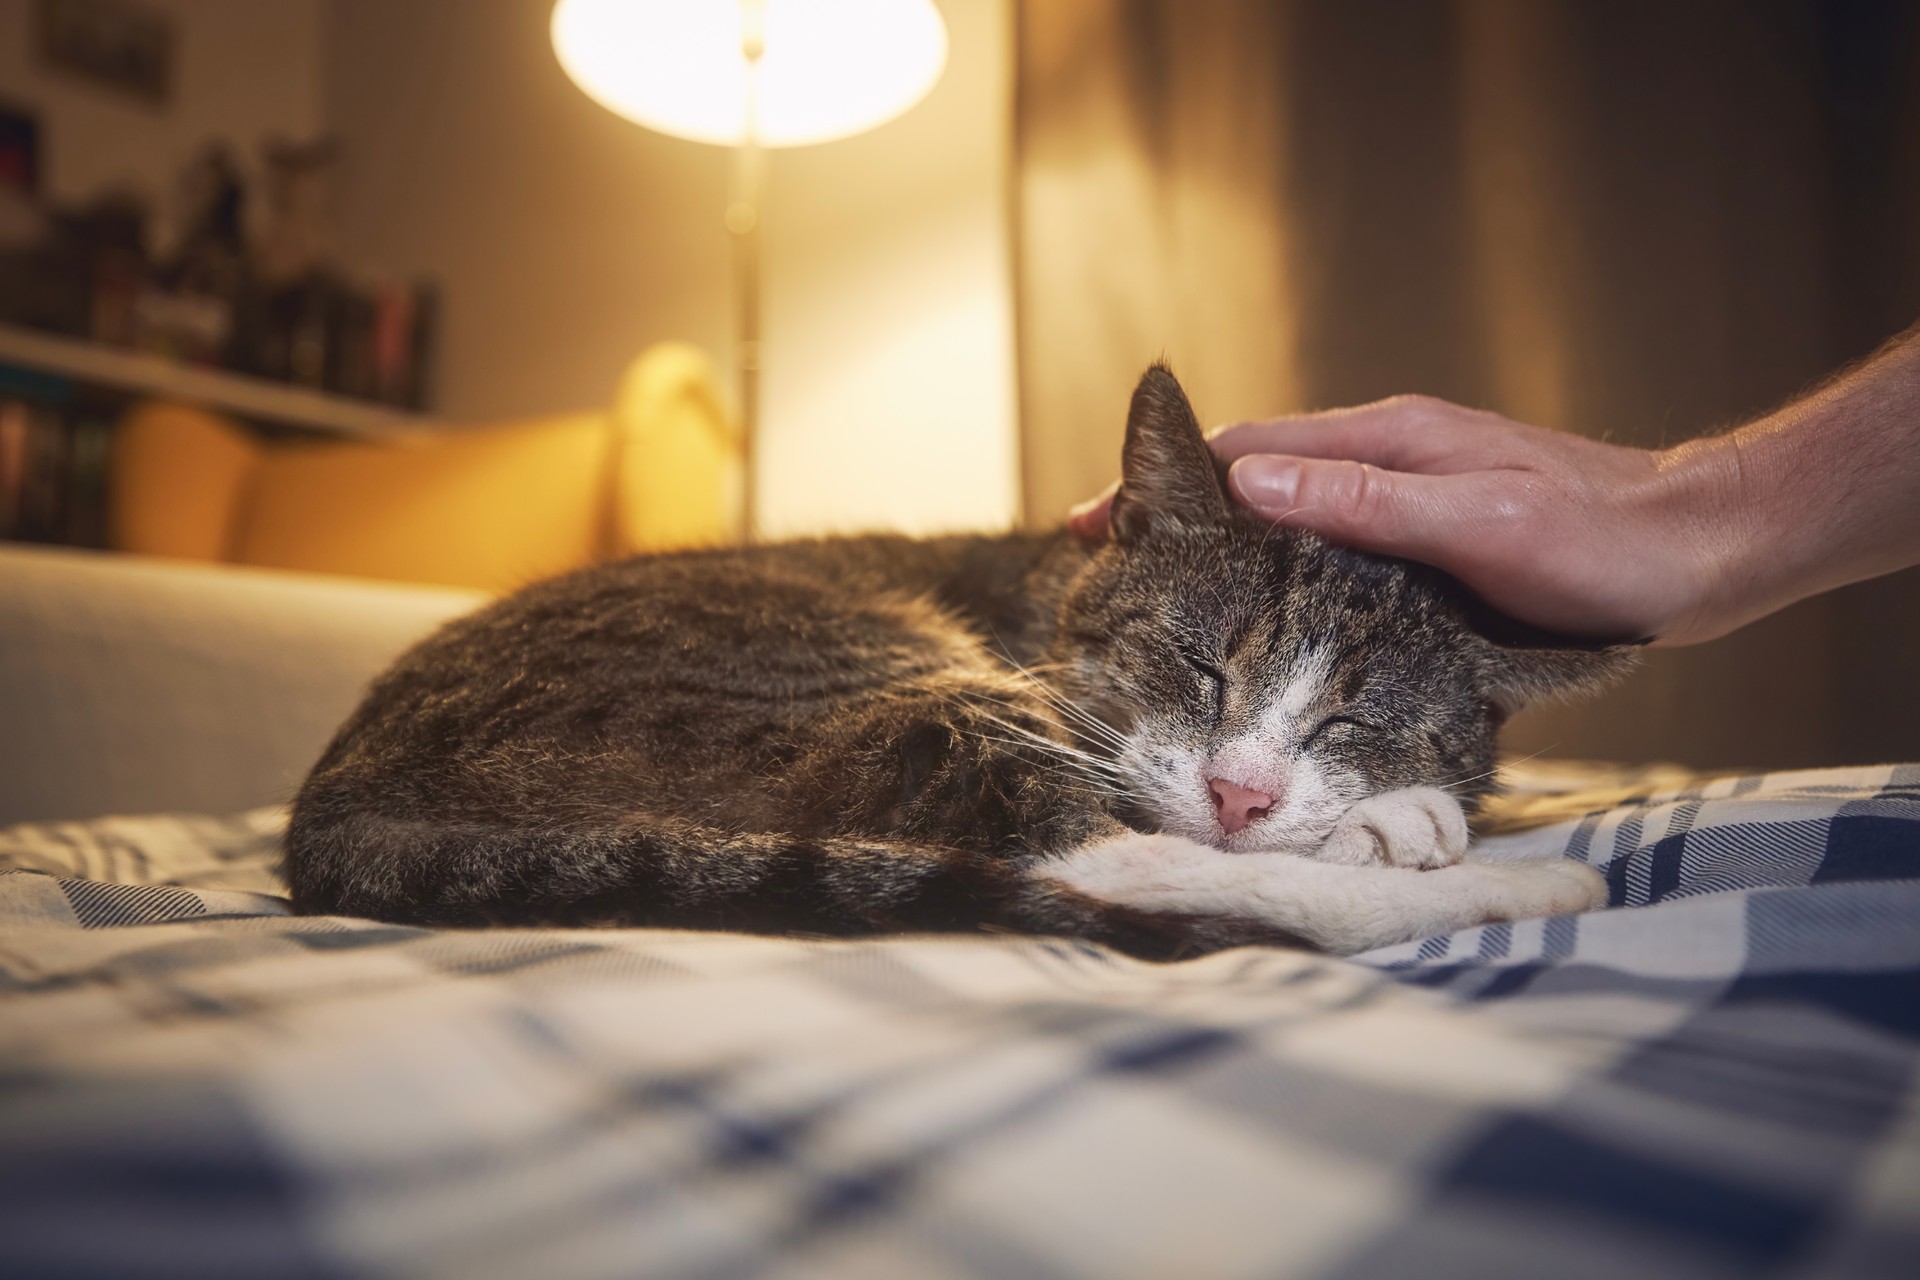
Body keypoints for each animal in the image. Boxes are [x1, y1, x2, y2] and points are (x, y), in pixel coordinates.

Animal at [288, 364, 1635, 955]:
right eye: (1197, 665)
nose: (1242, 791)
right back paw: (1512, 880)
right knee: (1102, 861)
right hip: (855, 672)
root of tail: (333, 801)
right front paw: (1406, 827)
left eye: (1352, 721)